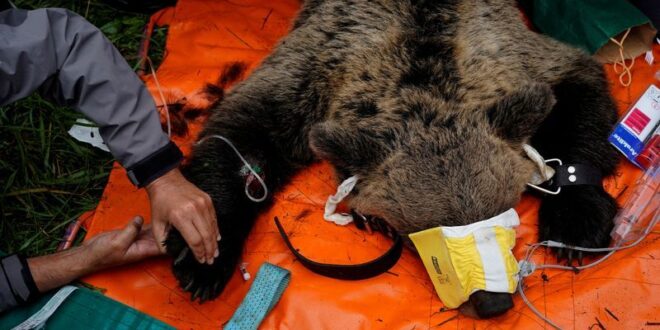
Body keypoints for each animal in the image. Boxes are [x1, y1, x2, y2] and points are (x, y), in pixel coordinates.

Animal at [164, 0, 620, 320]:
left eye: (506, 215)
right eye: (424, 235)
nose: (492, 304)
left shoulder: (515, 54)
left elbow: (577, 84)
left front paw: (575, 224)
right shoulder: (315, 67)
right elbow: (245, 134)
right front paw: (203, 256)